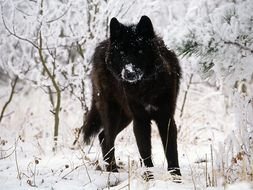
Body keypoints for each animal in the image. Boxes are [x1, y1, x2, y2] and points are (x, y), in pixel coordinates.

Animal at [82, 15, 181, 176]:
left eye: (140, 52)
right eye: (122, 53)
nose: (129, 73)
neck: (146, 88)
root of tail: (102, 45)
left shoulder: (165, 119)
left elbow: (172, 154)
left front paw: (177, 178)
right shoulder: (140, 120)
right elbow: (145, 154)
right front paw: (149, 177)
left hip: (125, 117)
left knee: (103, 136)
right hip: (113, 114)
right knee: (107, 139)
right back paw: (113, 172)